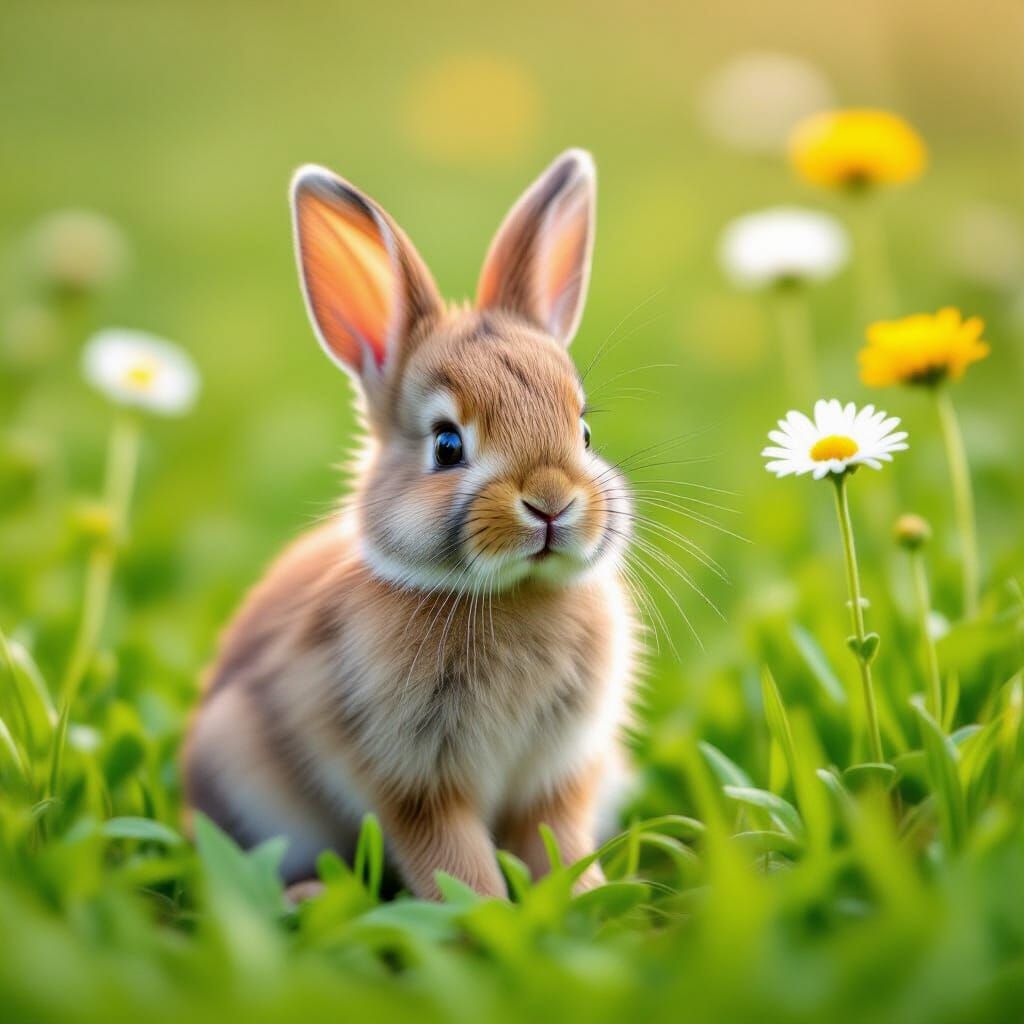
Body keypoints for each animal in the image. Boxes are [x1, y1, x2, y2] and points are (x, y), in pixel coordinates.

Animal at [182, 148, 638, 900]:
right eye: (447, 445)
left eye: (585, 431)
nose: (550, 502)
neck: (513, 594)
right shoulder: (416, 784)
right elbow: (452, 861)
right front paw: (488, 914)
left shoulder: (557, 776)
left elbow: (559, 843)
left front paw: (587, 903)